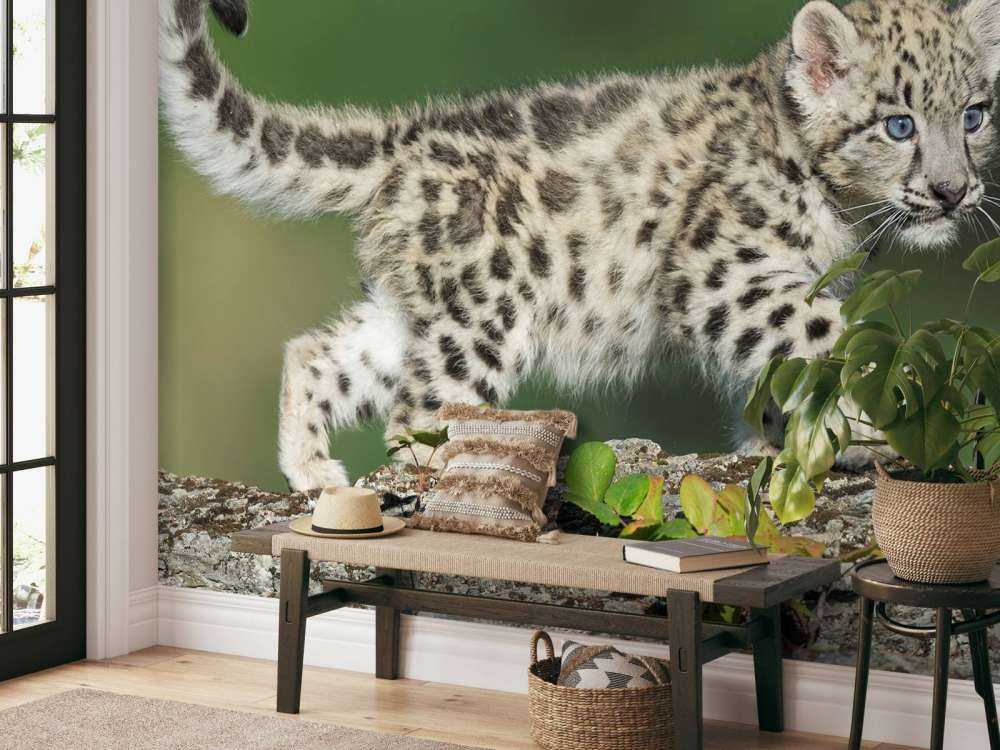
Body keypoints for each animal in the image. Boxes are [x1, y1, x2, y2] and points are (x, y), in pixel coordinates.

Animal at [160, 0, 1000, 491]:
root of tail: (406, 135)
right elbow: (834, 336)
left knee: (315, 353)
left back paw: (315, 474)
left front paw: (786, 442)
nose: (953, 190)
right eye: (898, 123)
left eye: (974, 114)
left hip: (418, 316)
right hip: (483, 320)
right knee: (417, 418)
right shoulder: (725, 273)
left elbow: (788, 368)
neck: (846, 220)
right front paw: (894, 413)